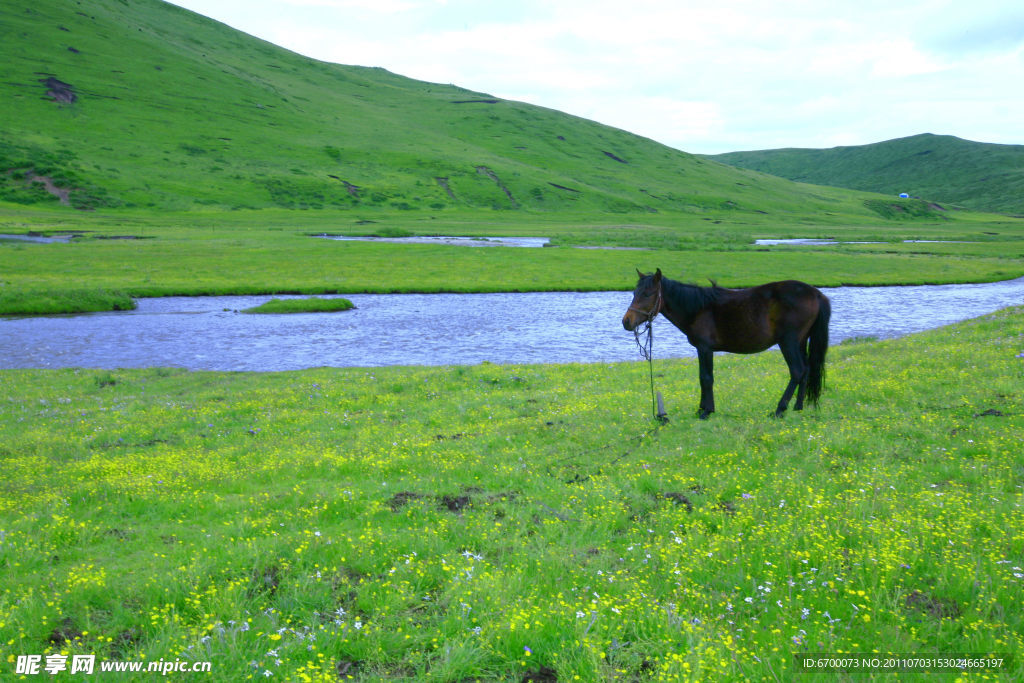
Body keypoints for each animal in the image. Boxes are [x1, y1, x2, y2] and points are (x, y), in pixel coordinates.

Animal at [618, 270, 827, 419]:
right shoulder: (701, 350)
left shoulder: (705, 349)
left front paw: (706, 411)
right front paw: (701, 409)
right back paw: (798, 407)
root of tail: (816, 293)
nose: (626, 321)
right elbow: (702, 378)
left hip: (788, 342)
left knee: (797, 371)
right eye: (634, 293)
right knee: (806, 370)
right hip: (801, 342)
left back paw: (780, 409)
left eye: (647, 294)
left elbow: (706, 378)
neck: (698, 308)